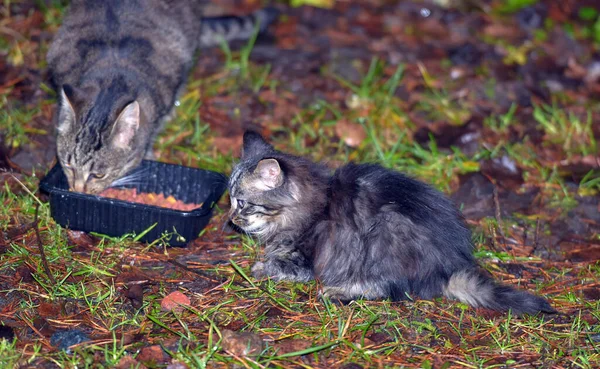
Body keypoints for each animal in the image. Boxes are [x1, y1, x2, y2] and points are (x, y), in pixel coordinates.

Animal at [227, 131, 556, 314]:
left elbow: (278, 265)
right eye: (228, 198)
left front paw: (260, 267)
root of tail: (445, 270)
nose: (230, 218)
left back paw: (340, 290)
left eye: (241, 202)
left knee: (390, 289)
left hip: (383, 236)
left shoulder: (306, 259)